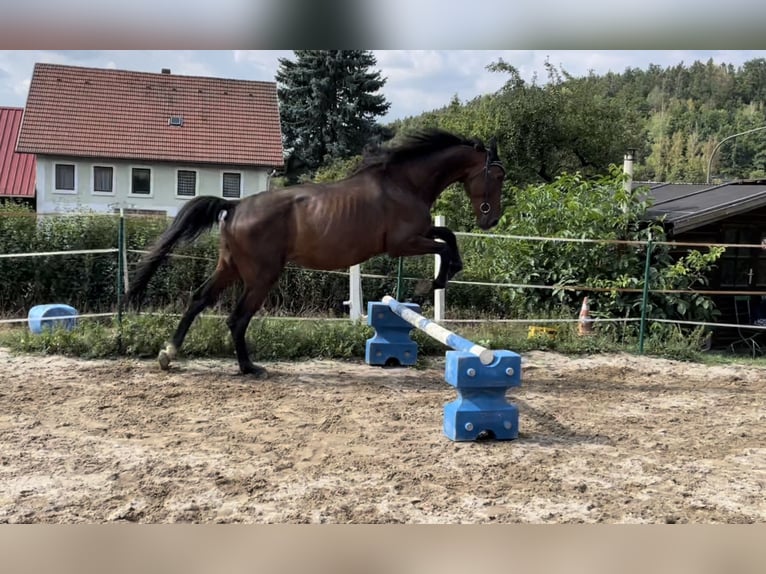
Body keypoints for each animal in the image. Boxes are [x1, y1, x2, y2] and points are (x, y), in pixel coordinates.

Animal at [129, 130, 508, 378]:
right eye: (497, 175)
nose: (491, 219)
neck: (405, 183)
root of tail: (235, 207)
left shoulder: (418, 235)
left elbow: (447, 236)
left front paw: (438, 280)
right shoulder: (403, 243)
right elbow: (446, 246)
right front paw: (432, 285)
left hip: (230, 267)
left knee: (199, 300)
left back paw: (169, 354)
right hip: (261, 275)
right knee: (237, 318)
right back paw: (249, 368)